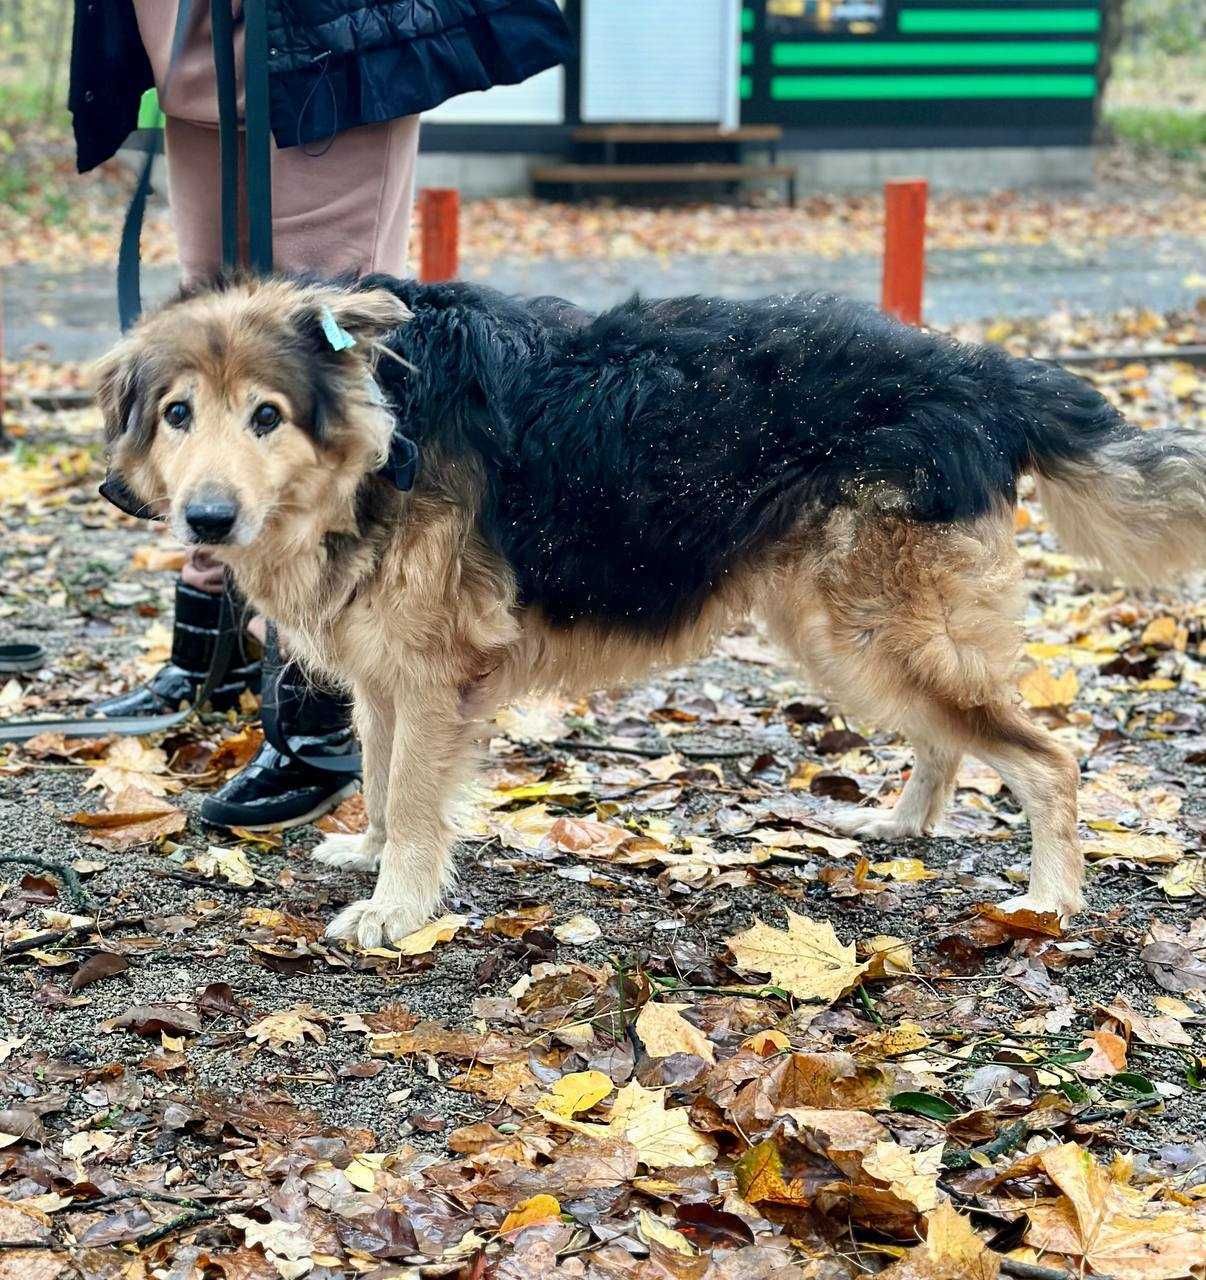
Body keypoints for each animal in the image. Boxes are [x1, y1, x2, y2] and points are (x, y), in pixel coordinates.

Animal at [96, 275, 1206, 947]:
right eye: (178, 413)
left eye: (267, 416)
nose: (207, 518)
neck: (385, 428)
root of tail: (980, 373)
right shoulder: (384, 671)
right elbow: (374, 767)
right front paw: (369, 856)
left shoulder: (434, 672)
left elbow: (411, 793)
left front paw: (397, 905)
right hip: (848, 635)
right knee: (950, 739)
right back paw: (904, 819)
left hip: (875, 632)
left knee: (1050, 758)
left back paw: (1051, 897)